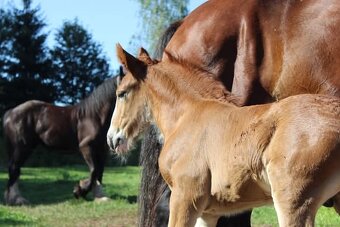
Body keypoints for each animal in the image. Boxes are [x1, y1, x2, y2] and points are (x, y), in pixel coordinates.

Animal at [2, 77, 117, 205]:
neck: (94, 116)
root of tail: (11, 112)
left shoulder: (102, 150)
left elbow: (99, 173)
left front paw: (99, 196)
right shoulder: (86, 147)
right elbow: (94, 170)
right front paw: (79, 191)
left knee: (15, 169)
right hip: (22, 147)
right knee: (14, 168)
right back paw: (16, 199)